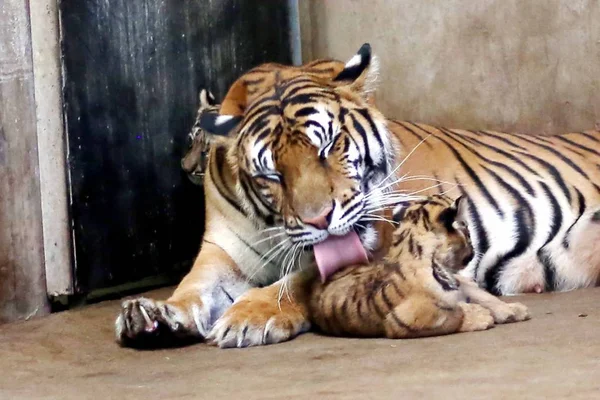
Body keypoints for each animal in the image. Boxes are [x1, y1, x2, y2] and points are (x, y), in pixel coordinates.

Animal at [116, 43, 600, 348]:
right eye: (272, 172)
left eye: (329, 145)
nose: (320, 219)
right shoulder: (222, 252)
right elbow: (192, 288)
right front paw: (153, 315)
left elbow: (298, 280)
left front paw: (249, 316)